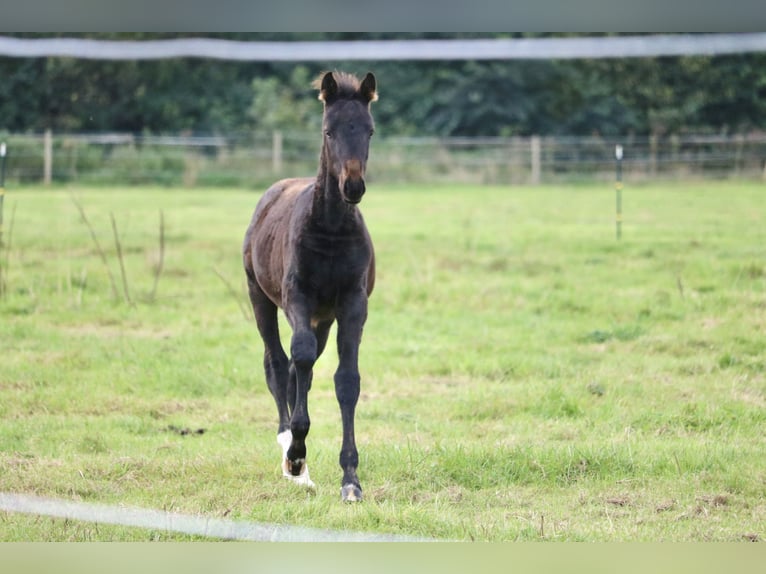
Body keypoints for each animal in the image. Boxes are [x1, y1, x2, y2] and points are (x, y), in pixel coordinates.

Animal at [244, 71, 380, 504]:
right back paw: (288, 446)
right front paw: (296, 456)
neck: (331, 229)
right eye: (328, 130)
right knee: (277, 362)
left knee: (296, 367)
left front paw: (351, 479)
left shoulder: (352, 305)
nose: (353, 187)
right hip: (261, 297)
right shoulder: (297, 298)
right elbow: (297, 357)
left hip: (324, 318)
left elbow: (346, 380)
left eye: (369, 130)